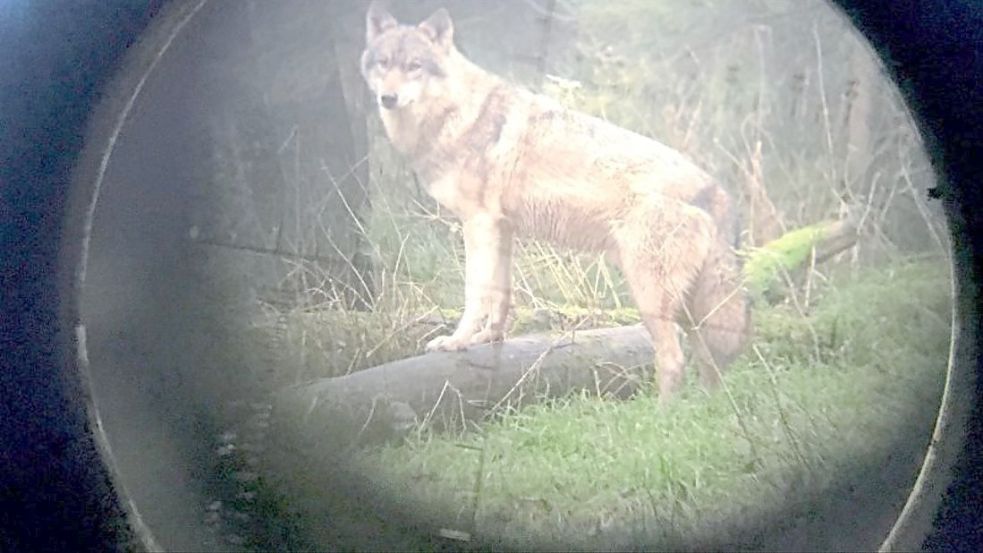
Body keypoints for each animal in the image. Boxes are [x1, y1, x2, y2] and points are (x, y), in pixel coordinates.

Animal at [360, 3, 751, 400]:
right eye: (384, 63)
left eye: (415, 65)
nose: (387, 98)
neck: (456, 114)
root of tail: (716, 190)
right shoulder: (502, 228)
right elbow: (501, 294)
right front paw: (490, 338)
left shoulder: (478, 224)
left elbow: (475, 294)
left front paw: (457, 342)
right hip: (688, 309)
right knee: (710, 365)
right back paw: (705, 408)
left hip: (651, 298)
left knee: (675, 361)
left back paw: (662, 414)